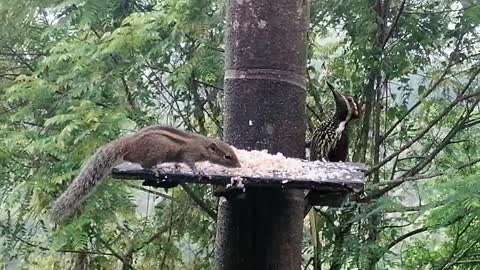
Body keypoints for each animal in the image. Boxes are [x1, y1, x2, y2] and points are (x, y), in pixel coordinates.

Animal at [50, 126, 242, 224]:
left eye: (233, 153)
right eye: (227, 156)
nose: (239, 165)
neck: (202, 145)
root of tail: (129, 143)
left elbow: (180, 162)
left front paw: (176, 166)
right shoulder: (189, 153)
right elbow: (191, 164)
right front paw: (198, 171)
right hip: (154, 153)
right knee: (144, 164)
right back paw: (156, 169)